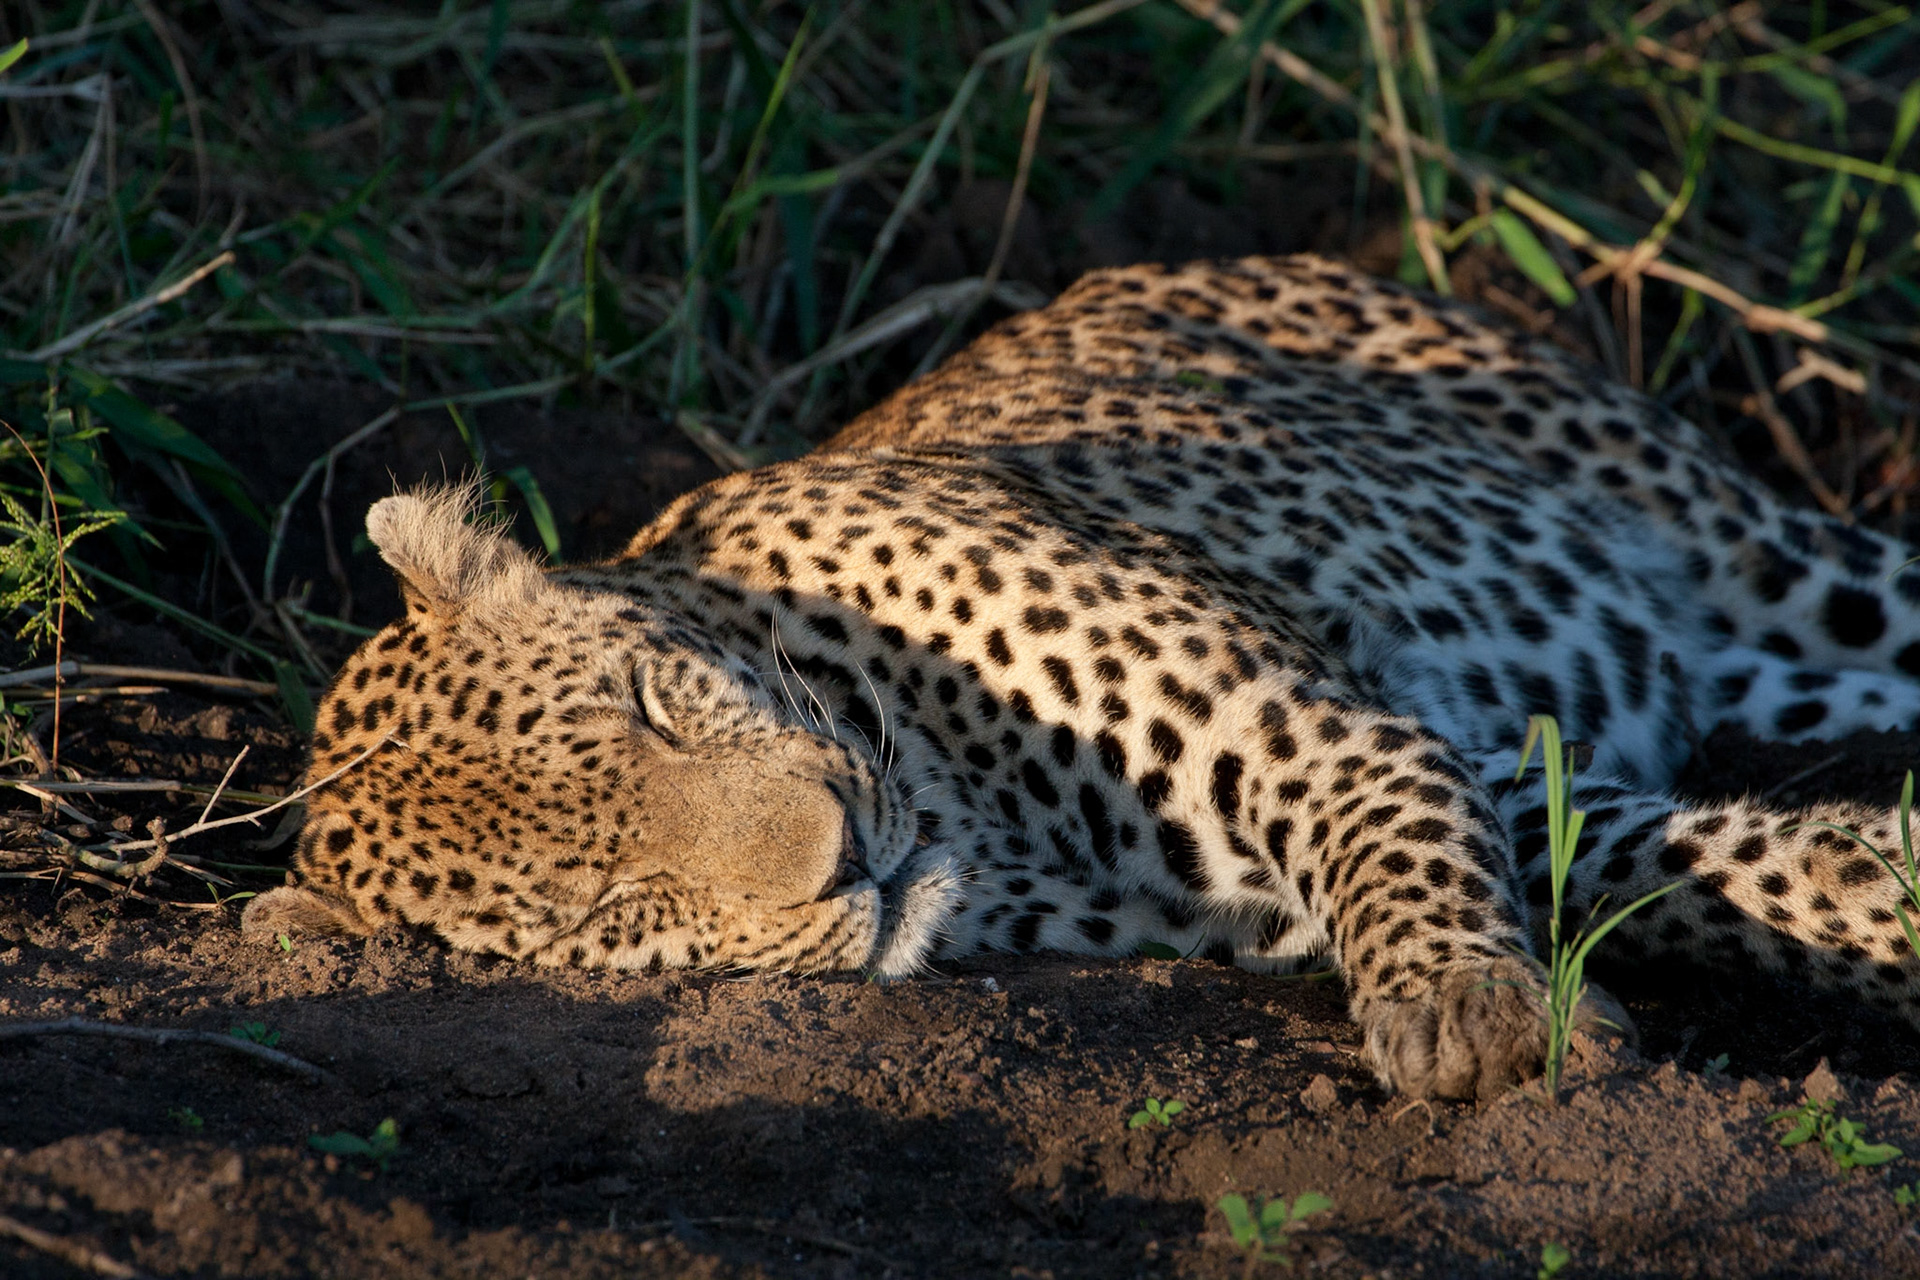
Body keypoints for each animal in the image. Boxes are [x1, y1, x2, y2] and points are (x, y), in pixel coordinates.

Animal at [243, 254, 1920, 1100]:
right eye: (607, 912)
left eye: (657, 709)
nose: (841, 860)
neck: (974, 809)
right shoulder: (1453, 794)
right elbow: (1711, 872)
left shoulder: (1310, 727)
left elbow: (1410, 858)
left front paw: (1468, 1010)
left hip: (1771, 561)